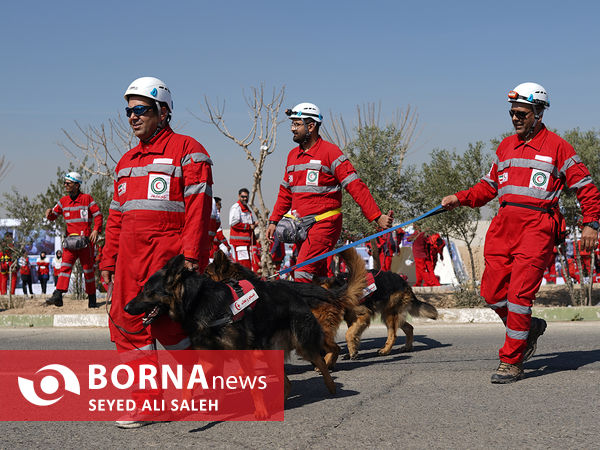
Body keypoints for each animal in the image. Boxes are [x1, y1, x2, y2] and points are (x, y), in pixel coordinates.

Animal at [125, 255, 338, 400]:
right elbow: (189, 382)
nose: (126, 308)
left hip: (302, 344)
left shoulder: (242, 351)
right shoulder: (209, 358)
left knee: (319, 360)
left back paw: (331, 386)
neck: (197, 301)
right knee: (287, 382)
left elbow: (252, 385)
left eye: (147, 291)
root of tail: (292, 288)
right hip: (270, 351)